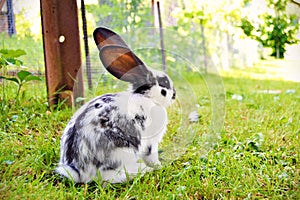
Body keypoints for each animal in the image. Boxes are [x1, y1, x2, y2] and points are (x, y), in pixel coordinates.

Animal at [55, 27, 176, 184]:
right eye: (164, 84)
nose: (174, 95)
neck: (147, 97)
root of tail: (79, 171)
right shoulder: (151, 142)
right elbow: (151, 156)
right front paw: (158, 166)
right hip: (123, 151)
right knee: (108, 176)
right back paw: (142, 170)